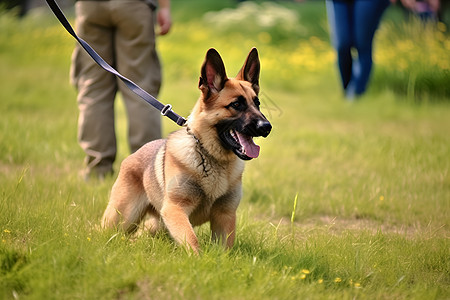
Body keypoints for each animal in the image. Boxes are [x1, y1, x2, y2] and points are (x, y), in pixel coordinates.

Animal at [102, 48, 270, 253]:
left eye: (257, 103)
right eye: (236, 105)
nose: (266, 127)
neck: (210, 157)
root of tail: (134, 155)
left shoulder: (225, 216)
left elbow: (224, 250)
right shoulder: (176, 210)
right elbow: (192, 241)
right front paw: (199, 259)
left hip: (156, 224)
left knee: (141, 234)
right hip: (122, 219)